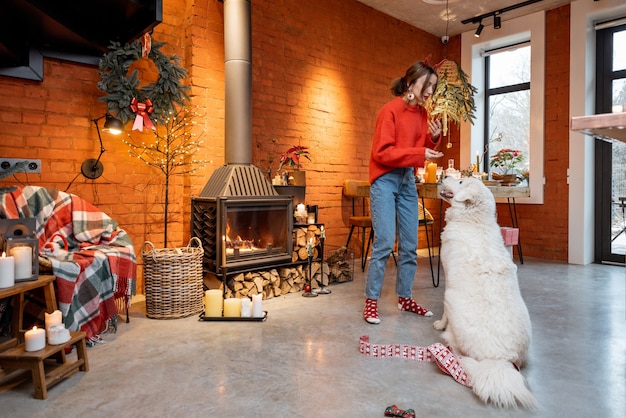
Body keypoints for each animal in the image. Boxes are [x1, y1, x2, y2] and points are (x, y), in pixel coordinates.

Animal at [432, 176, 532, 408]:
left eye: (460, 181)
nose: (444, 176)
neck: (473, 220)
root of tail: (500, 359)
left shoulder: (448, 278)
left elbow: (443, 312)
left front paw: (440, 324)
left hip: (452, 301)